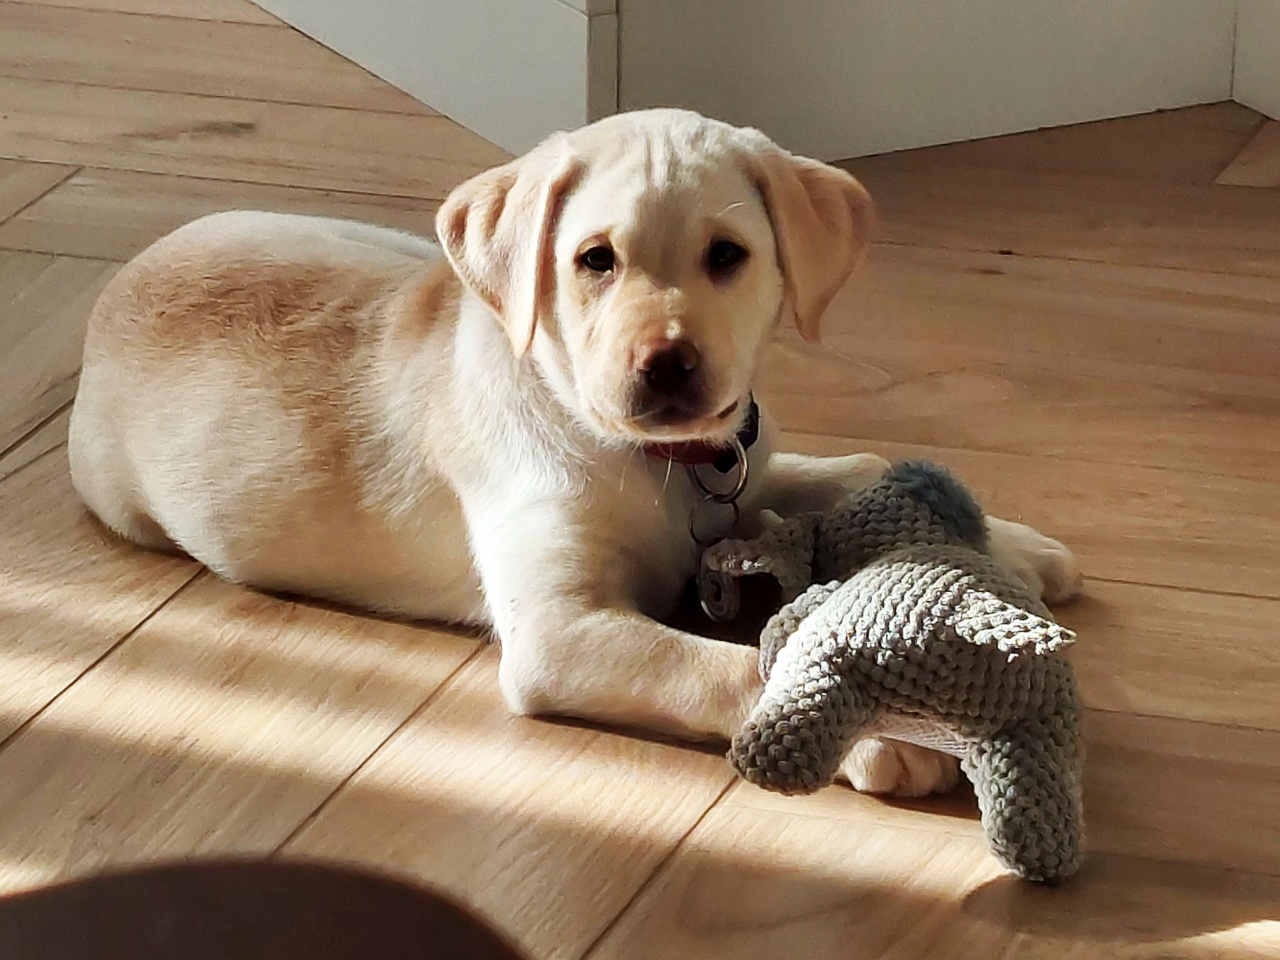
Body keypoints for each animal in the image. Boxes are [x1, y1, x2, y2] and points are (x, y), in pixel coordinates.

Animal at [68, 109, 1080, 797]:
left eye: (727, 256)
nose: (666, 365)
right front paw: (883, 734)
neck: (657, 460)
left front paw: (1015, 545)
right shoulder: (560, 633)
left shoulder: (746, 459)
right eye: (596, 259)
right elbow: (717, 664)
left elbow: (851, 470)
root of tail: (116, 283)